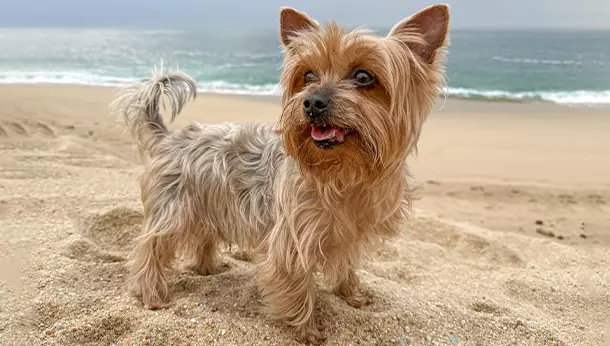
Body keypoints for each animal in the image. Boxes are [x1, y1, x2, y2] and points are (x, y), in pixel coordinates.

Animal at [111, 4, 448, 344]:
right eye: (308, 75)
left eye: (364, 76)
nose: (311, 102)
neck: (343, 173)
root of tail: (168, 138)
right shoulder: (292, 238)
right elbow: (297, 286)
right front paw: (307, 329)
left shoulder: (349, 234)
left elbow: (346, 266)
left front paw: (351, 294)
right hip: (173, 210)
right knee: (151, 250)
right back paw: (152, 295)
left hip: (210, 202)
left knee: (203, 236)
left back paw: (208, 268)